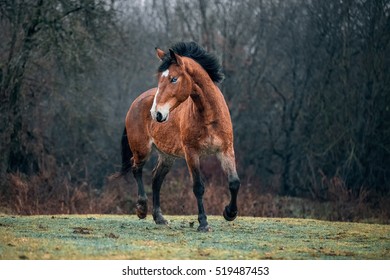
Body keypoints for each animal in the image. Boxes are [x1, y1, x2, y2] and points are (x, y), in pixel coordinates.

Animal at [121, 41, 241, 230]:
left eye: (174, 79)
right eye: (160, 79)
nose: (156, 113)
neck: (209, 116)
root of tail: (137, 101)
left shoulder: (226, 150)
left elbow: (234, 182)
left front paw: (230, 213)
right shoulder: (191, 153)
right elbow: (198, 187)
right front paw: (203, 223)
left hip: (167, 156)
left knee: (156, 180)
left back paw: (159, 218)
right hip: (142, 150)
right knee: (137, 169)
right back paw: (142, 208)